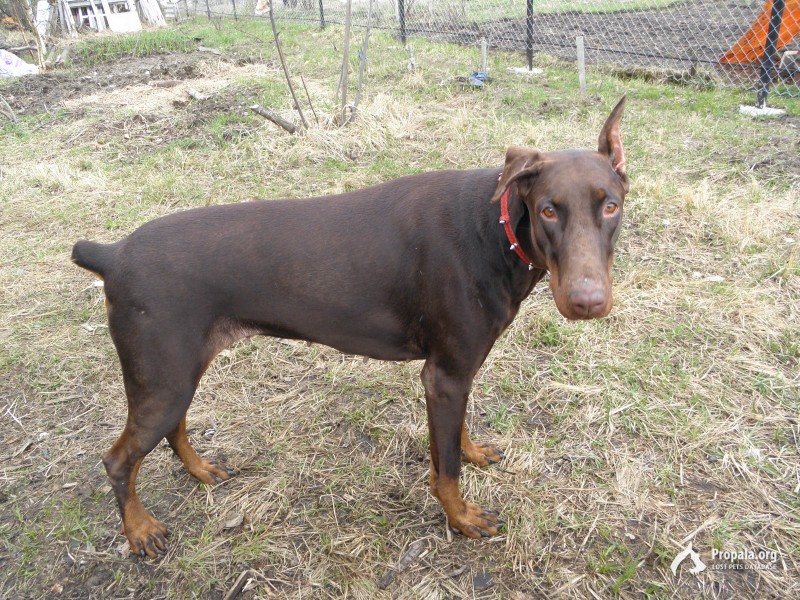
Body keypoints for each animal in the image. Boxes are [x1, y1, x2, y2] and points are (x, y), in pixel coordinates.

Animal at [72, 97, 628, 556]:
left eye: (611, 205)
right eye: (548, 209)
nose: (587, 301)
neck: (494, 230)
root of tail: (113, 255)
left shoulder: (455, 372)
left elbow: (456, 437)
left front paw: (471, 452)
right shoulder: (444, 374)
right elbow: (443, 470)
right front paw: (462, 518)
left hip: (178, 372)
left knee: (174, 426)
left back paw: (200, 469)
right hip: (162, 377)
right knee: (120, 459)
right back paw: (140, 530)